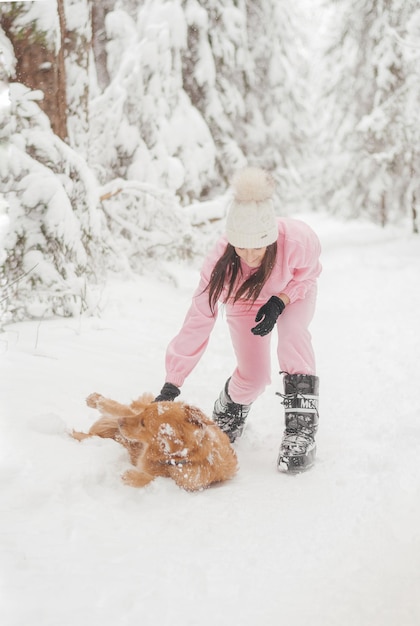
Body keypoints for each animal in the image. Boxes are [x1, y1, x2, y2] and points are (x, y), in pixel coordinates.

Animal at [71, 392, 238, 490]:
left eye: (143, 423)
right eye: (142, 417)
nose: (120, 422)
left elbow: (153, 477)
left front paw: (131, 477)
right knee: (123, 409)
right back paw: (96, 401)